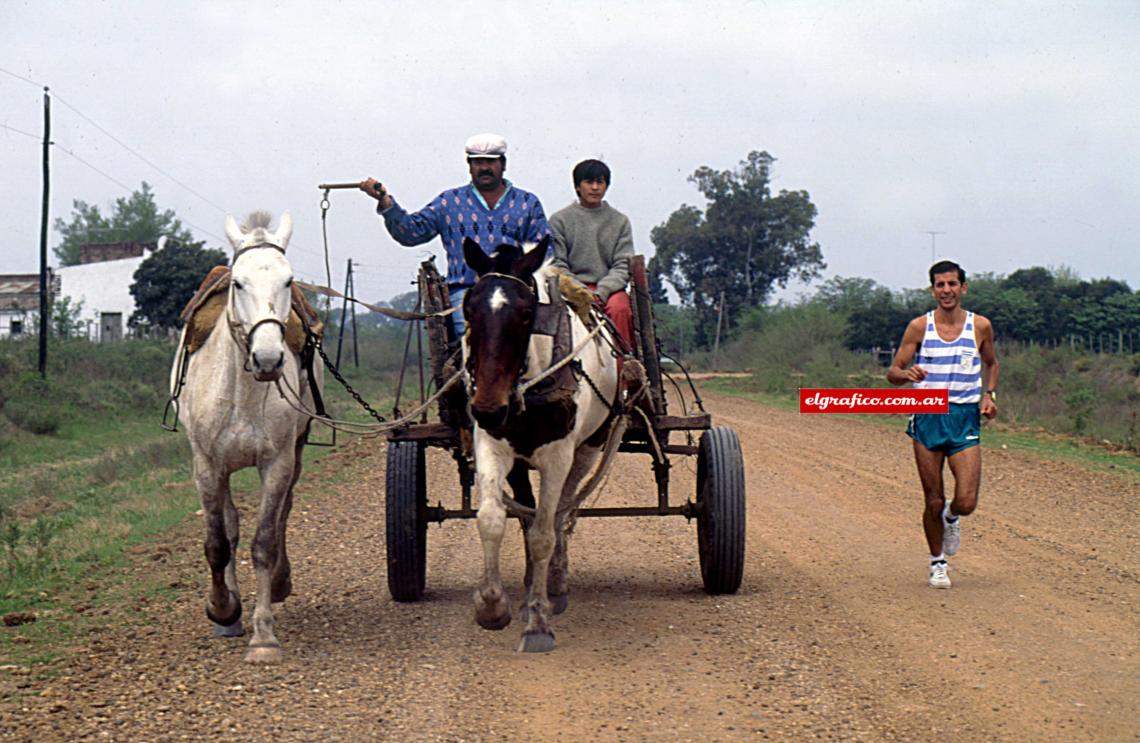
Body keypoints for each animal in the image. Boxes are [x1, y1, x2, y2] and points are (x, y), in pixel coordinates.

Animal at [460, 238, 624, 651]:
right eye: (468, 308)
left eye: (524, 314)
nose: (487, 408)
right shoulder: (492, 446)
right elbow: (492, 519)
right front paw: (492, 605)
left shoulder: (557, 456)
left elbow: (544, 535)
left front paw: (537, 621)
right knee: (527, 512)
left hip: (586, 450)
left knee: (562, 510)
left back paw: (556, 583)